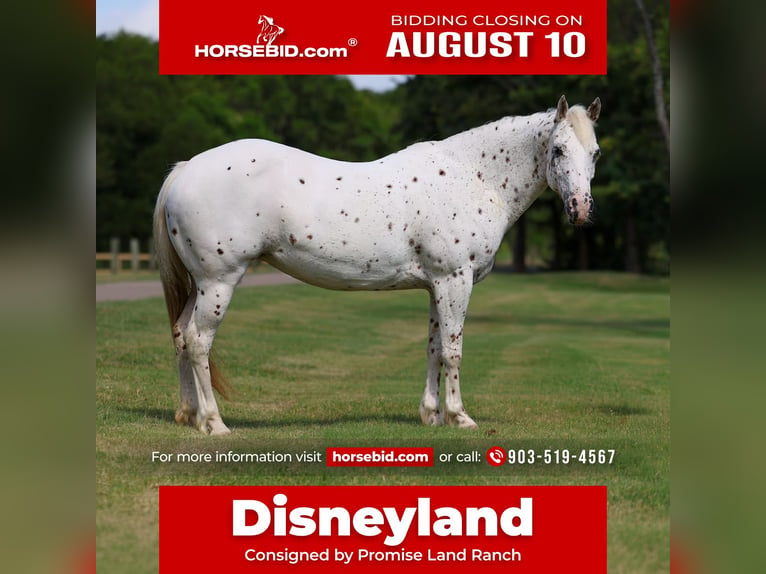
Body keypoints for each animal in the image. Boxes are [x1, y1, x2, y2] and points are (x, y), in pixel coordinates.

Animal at [153, 95, 602, 435]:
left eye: (595, 152)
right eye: (558, 149)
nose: (580, 209)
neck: (472, 177)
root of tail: (186, 170)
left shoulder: (436, 285)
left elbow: (434, 348)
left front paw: (431, 415)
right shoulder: (455, 280)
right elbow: (453, 350)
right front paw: (459, 416)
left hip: (200, 285)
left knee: (179, 335)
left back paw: (189, 415)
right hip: (218, 282)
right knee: (198, 341)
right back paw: (214, 423)